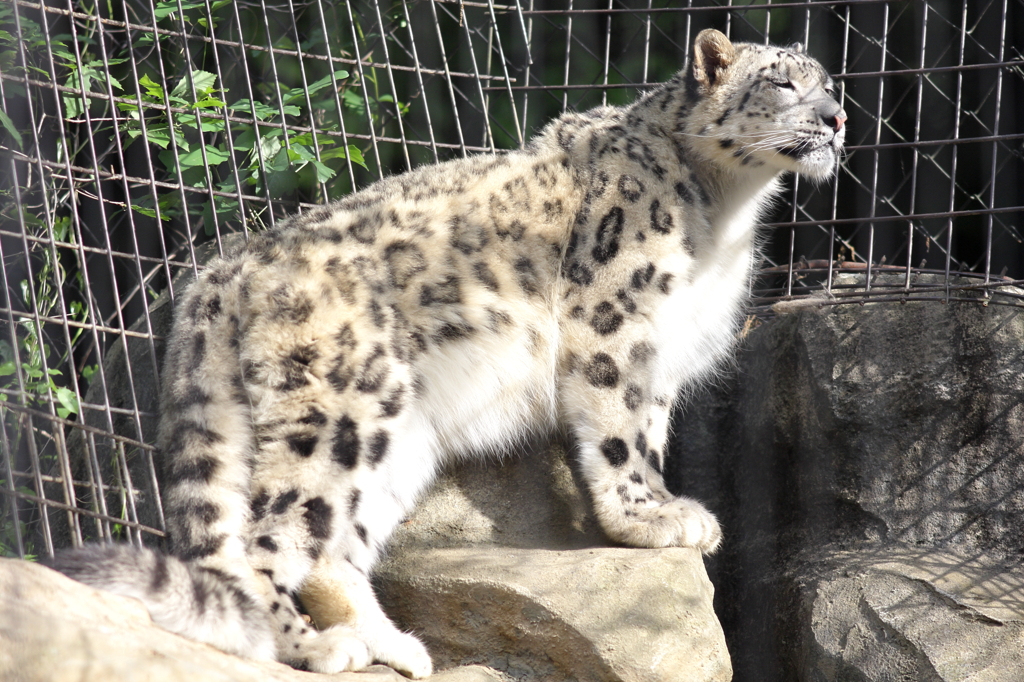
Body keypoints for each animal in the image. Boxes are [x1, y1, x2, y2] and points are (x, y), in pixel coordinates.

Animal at [51, 30, 843, 675]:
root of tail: (226, 269)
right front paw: (652, 517)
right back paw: (315, 647)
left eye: (828, 81)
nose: (837, 119)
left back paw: (394, 645)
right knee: (265, 536)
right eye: (782, 82)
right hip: (337, 411)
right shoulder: (616, 320)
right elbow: (622, 429)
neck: (728, 209)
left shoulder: (666, 349)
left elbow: (647, 421)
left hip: (393, 432)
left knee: (332, 542)